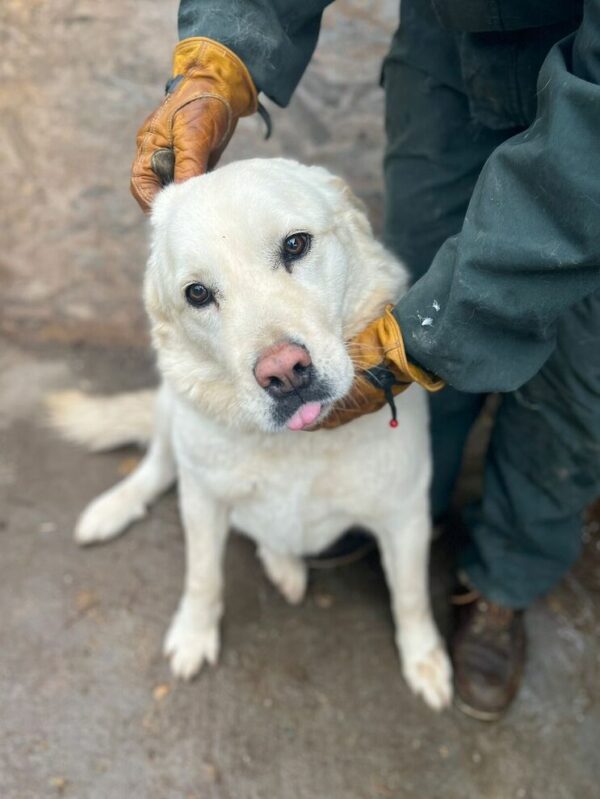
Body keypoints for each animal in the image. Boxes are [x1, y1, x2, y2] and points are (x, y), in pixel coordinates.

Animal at [50, 159, 450, 708]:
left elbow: (411, 597)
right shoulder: (203, 502)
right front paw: (194, 634)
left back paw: (285, 565)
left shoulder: (406, 514)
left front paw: (423, 658)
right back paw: (113, 508)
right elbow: (202, 578)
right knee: (157, 467)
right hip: (171, 414)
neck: (295, 447)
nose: (284, 372)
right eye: (198, 294)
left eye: (296, 245)